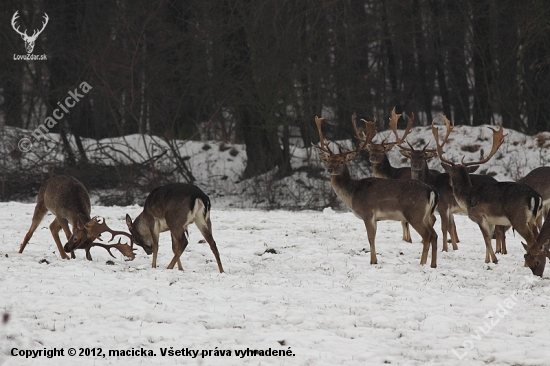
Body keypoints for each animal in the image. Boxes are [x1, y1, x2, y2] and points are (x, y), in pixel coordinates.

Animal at [314, 116, 440, 268]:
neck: (352, 193)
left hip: (415, 213)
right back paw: (433, 264)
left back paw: (421, 263)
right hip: (426, 215)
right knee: (434, 235)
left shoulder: (368, 213)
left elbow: (370, 237)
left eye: (342, 161)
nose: (330, 169)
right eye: (328, 160)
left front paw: (373, 261)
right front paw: (374, 260)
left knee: (427, 236)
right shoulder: (375, 218)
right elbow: (373, 237)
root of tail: (431, 190)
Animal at [434, 118, 544, 268]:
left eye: (450, 174)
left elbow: (486, 238)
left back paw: (529, 264)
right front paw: (488, 260)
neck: (467, 197)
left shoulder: (479, 216)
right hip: (534, 218)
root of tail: (535, 197)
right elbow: (489, 239)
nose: (450, 183)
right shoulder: (491, 221)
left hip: (519, 219)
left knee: (531, 241)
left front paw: (495, 259)